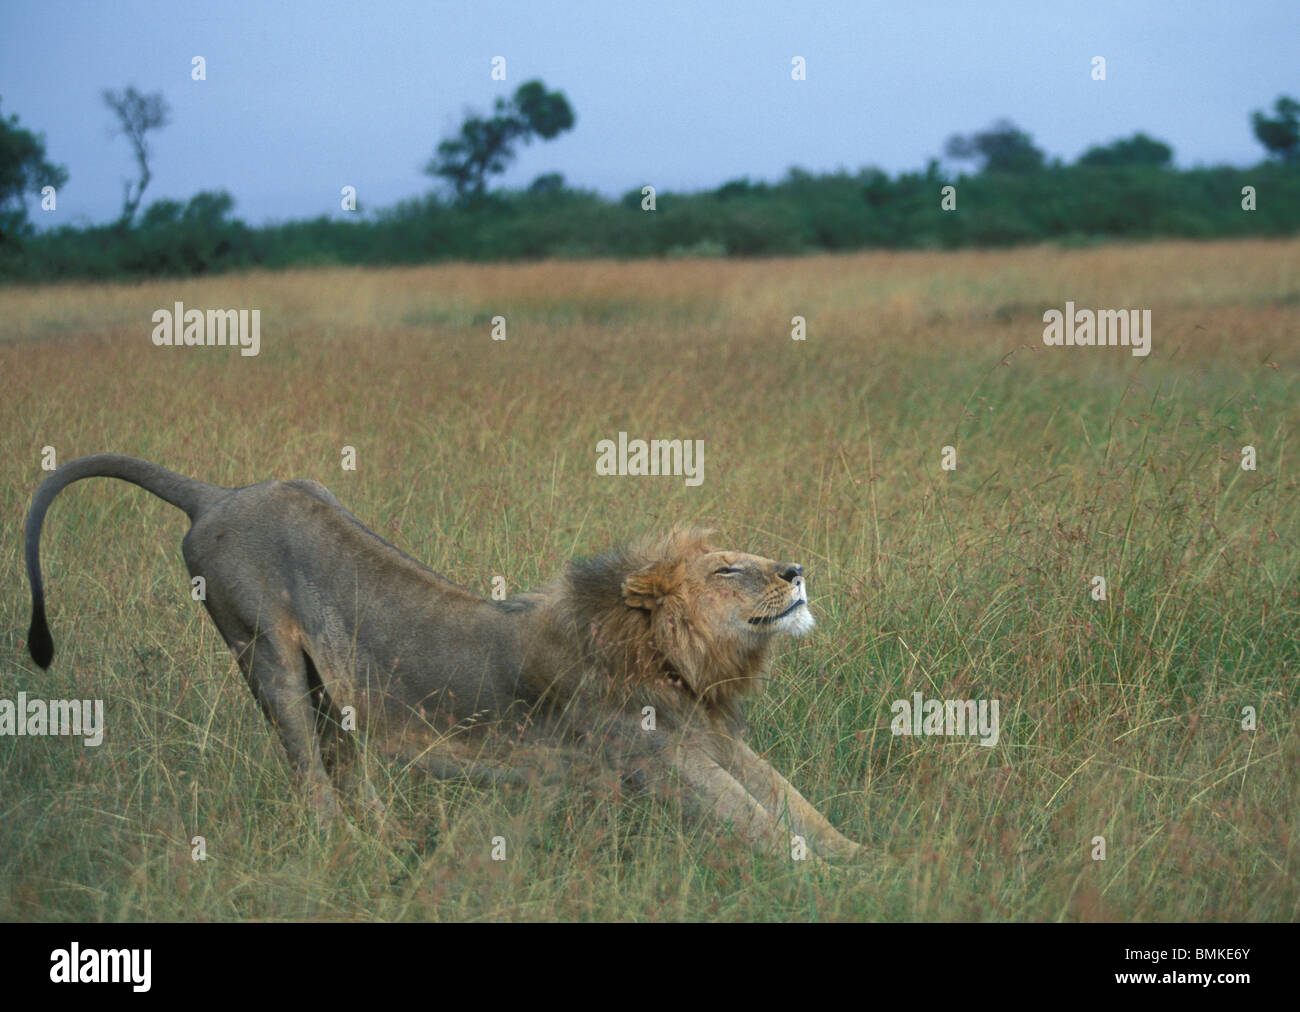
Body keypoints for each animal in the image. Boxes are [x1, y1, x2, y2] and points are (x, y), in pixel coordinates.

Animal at [25, 454, 863, 861]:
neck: (673, 659)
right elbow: (750, 817)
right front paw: (821, 879)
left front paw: (861, 854)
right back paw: (344, 851)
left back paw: (393, 842)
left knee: (343, 762)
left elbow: (792, 801)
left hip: (332, 684)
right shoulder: (651, 754)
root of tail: (217, 493)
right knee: (309, 775)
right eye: (726, 570)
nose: (795, 571)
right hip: (264, 654)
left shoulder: (708, 733)